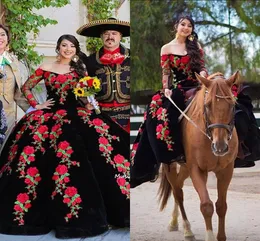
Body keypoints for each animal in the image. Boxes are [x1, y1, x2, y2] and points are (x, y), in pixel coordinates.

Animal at [157, 72, 239, 241]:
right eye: (207, 105)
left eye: (232, 105)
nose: (220, 146)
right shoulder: (196, 169)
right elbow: (206, 205)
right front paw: (210, 236)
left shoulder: (226, 171)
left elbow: (221, 205)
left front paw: (221, 237)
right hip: (171, 166)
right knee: (177, 192)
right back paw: (187, 229)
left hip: (185, 168)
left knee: (179, 185)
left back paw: (175, 222)